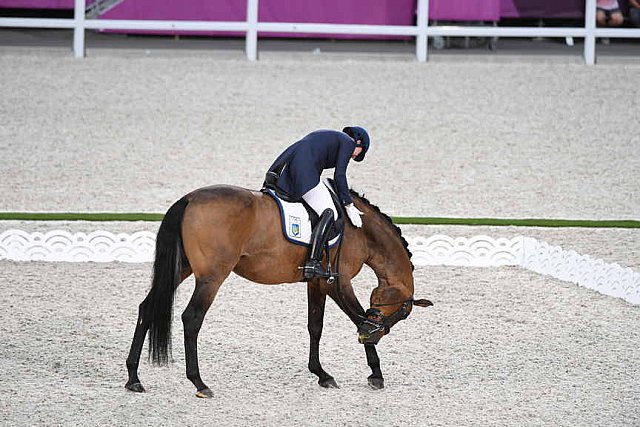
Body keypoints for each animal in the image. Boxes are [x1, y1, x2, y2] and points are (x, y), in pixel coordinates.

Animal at [122, 186, 432, 400]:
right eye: (403, 312)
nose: (373, 335)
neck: (359, 231)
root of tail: (189, 198)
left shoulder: (317, 283)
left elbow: (315, 326)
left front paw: (321, 374)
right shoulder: (338, 283)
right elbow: (357, 318)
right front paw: (376, 373)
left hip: (182, 268)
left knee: (148, 308)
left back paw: (134, 378)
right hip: (211, 278)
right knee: (192, 319)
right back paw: (199, 383)